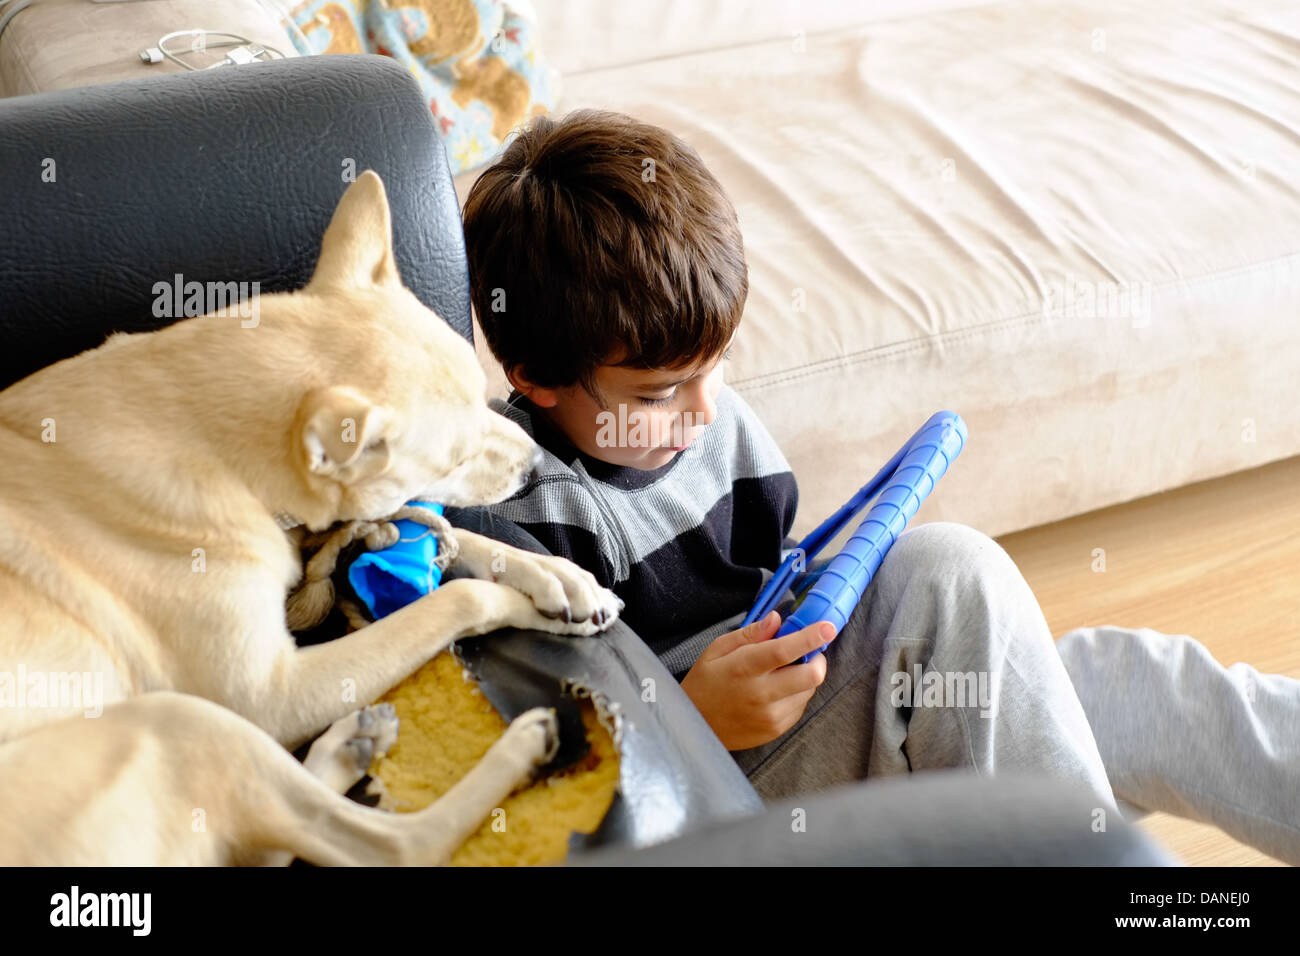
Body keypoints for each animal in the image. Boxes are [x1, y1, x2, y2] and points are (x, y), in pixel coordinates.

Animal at [0, 170, 624, 868]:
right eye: (456, 457)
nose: (540, 465)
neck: (215, 455)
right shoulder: (272, 693)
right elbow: (455, 597)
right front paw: (528, 606)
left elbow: (453, 533)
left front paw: (557, 577)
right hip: (186, 723)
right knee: (388, 845)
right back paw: (520, 749)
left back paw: (352, 743)